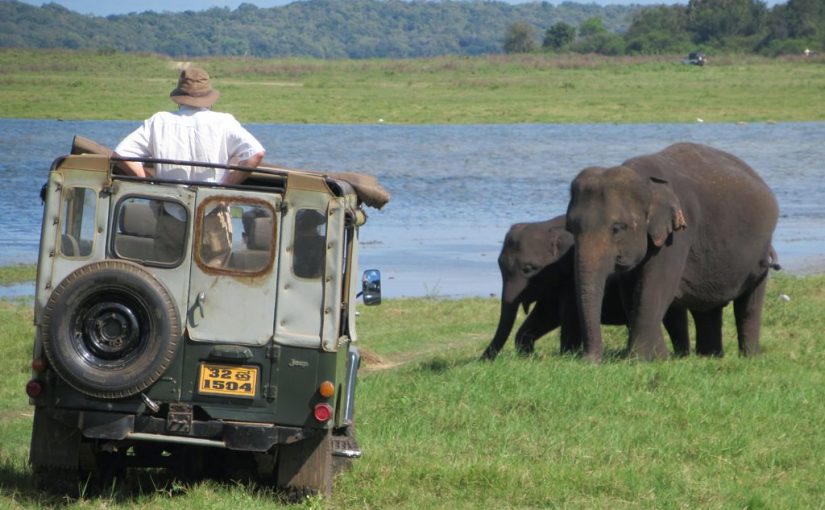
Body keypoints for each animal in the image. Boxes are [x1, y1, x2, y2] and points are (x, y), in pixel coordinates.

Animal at [480, 214, 692, 358]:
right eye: (499, 264)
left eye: (528, 269)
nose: (483, 360)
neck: (548, 226)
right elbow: (545, 315)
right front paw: (528, 353)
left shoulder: (571, 276)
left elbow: (568, 315)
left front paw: (567, 355)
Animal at [568, 141, 780, 360]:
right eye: (570, 228)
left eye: (617, 228)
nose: (589, 361)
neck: (645, 181)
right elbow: (631, 292)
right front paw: (660, 358)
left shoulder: (679, 234)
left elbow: (656, 287)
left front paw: (639, 359)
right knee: (707, 308)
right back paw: (709, 356)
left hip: (761, 253)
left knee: (750, 305)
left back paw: (750, 356)